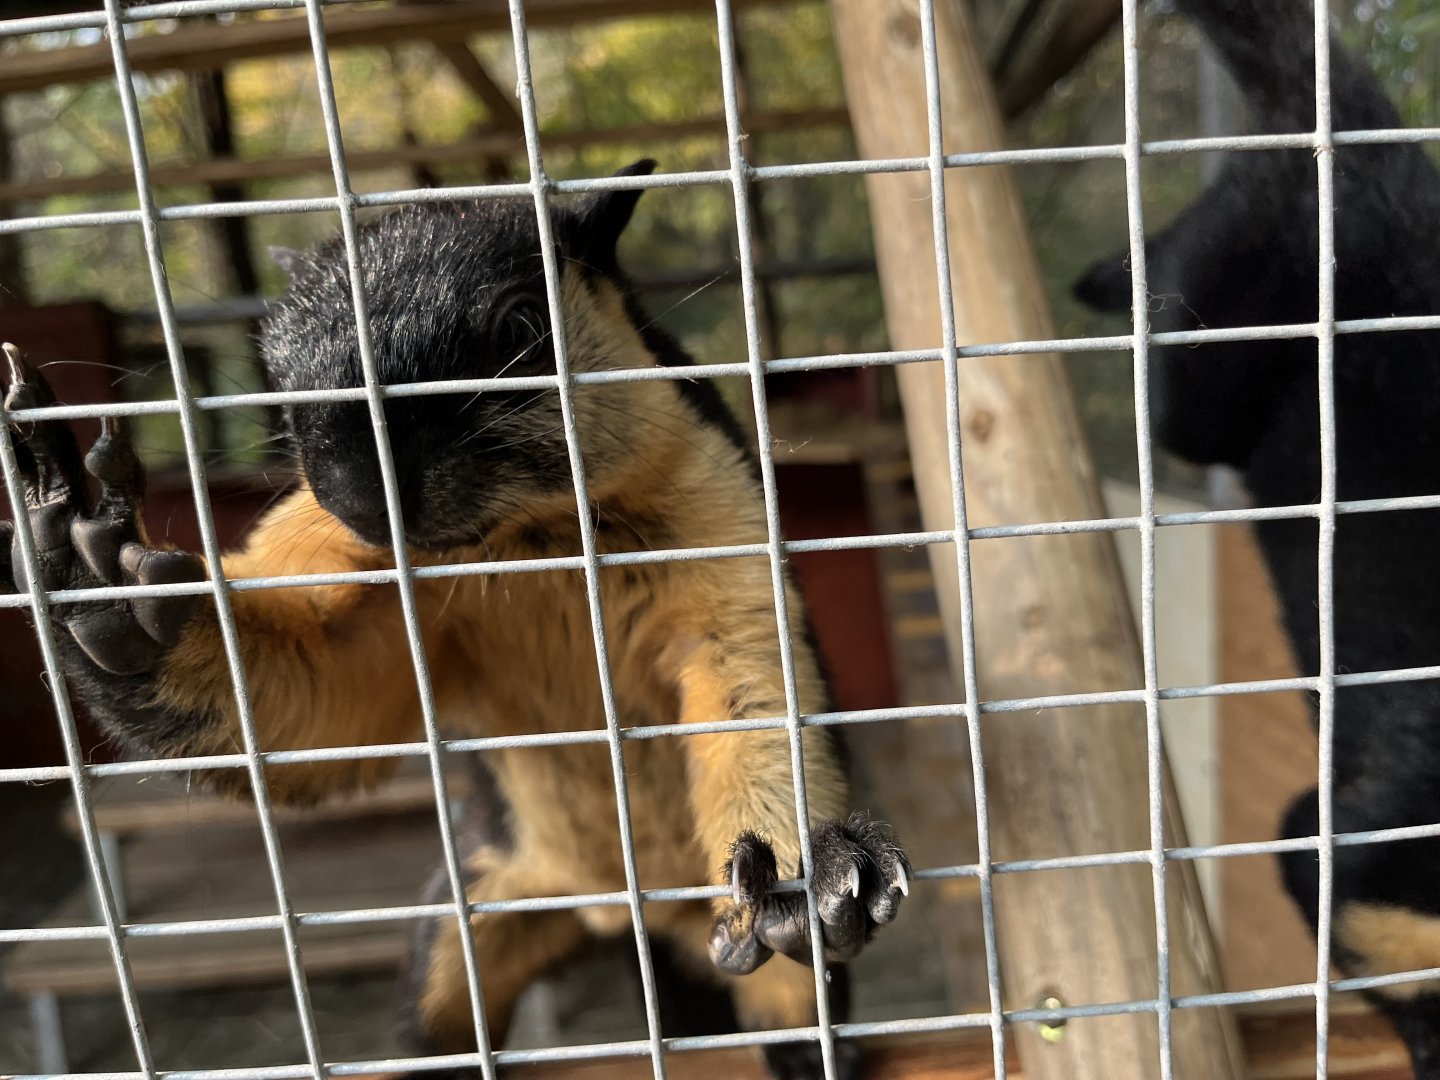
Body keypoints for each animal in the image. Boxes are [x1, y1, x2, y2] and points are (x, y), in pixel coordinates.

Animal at [1, 160, 909, 1080]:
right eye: (276, 374)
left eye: (522, 323)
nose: (361, 498)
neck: (527, 538)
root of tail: (633, 916)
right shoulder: (342, 567)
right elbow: (314, 708)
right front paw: (99, 577)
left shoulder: (723, 527)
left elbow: (753, 692)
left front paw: (813, 873)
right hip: (465, 919)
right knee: (441, 1026)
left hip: (766, 975)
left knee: (792, 1012)